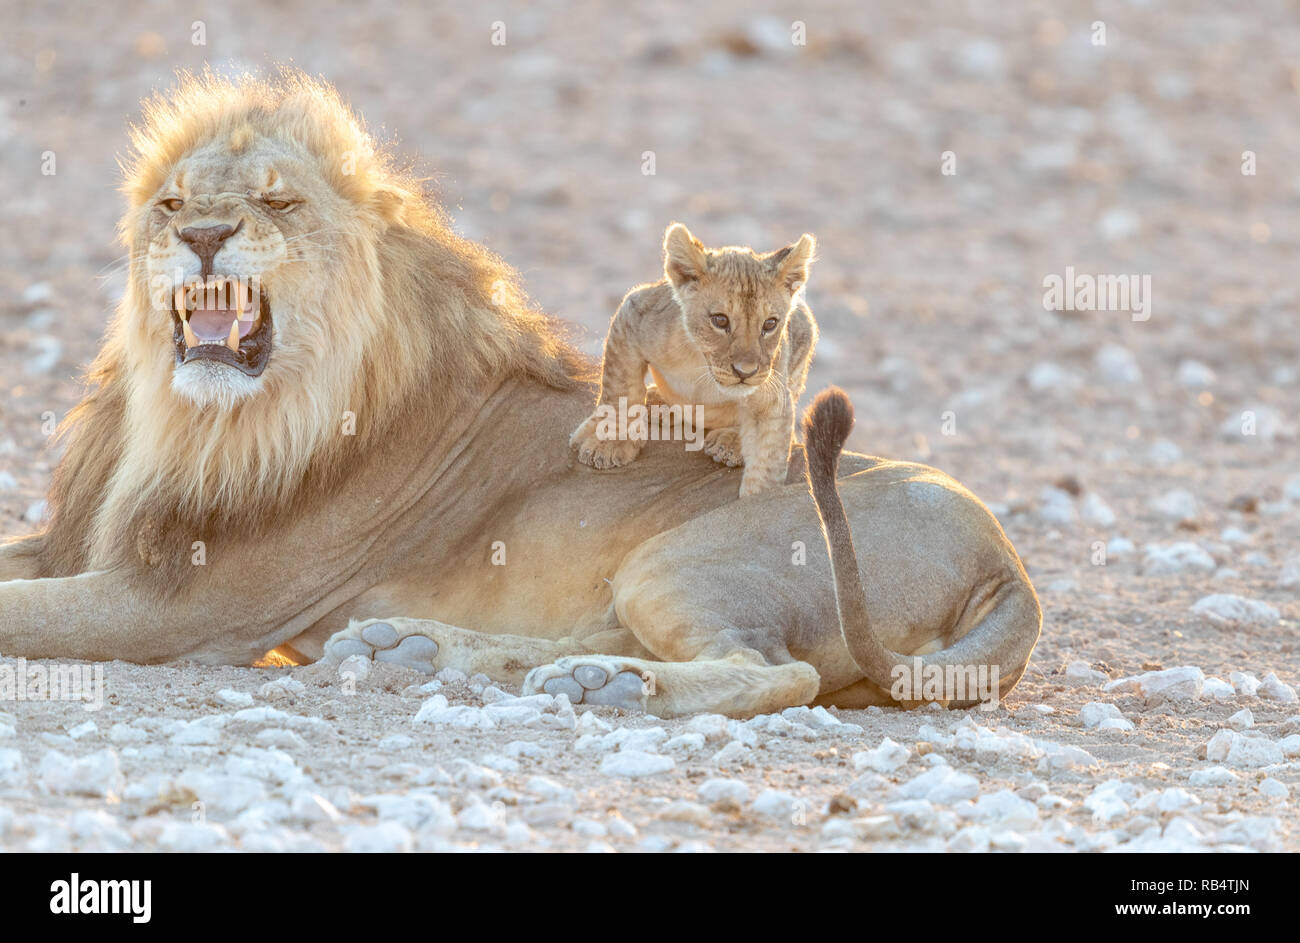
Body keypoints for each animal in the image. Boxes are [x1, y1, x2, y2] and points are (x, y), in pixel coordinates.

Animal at [0, 71, 1040, 712]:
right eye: (171, 203)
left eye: (278, 201)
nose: (204, 236)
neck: (198, 416)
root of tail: (1011, 565)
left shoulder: (187, 604)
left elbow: (21, 612)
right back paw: (425, 650)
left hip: (687, 555)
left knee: (772, 673)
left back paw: (608, 689)